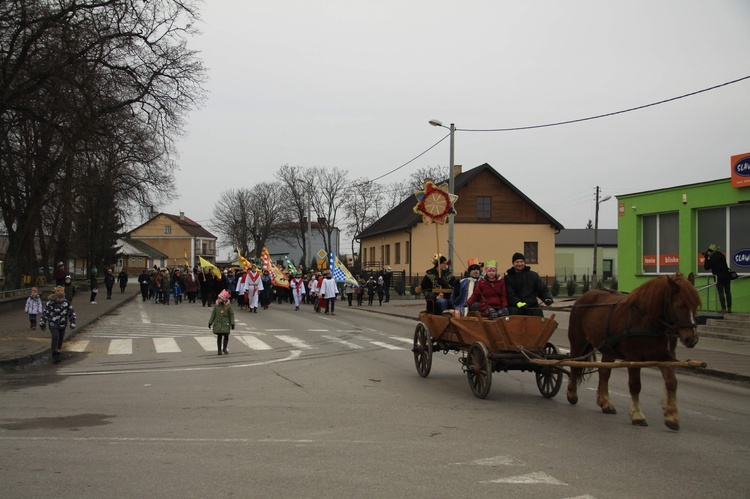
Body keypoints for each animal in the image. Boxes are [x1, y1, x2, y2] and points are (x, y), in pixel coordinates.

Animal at [568, 276, 704, 432]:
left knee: (604, 373)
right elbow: (635, 385)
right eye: (681, 305)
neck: (645, 320)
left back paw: (605, 402)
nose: (692, 339)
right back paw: (572, 394)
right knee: (574, 365)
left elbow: (672, 382)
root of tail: (583, 297)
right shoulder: (633, 358)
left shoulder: (664, 357)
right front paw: (637, 415)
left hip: (608, 348)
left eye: (696, 305)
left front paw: (672, 416)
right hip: (578, 342)